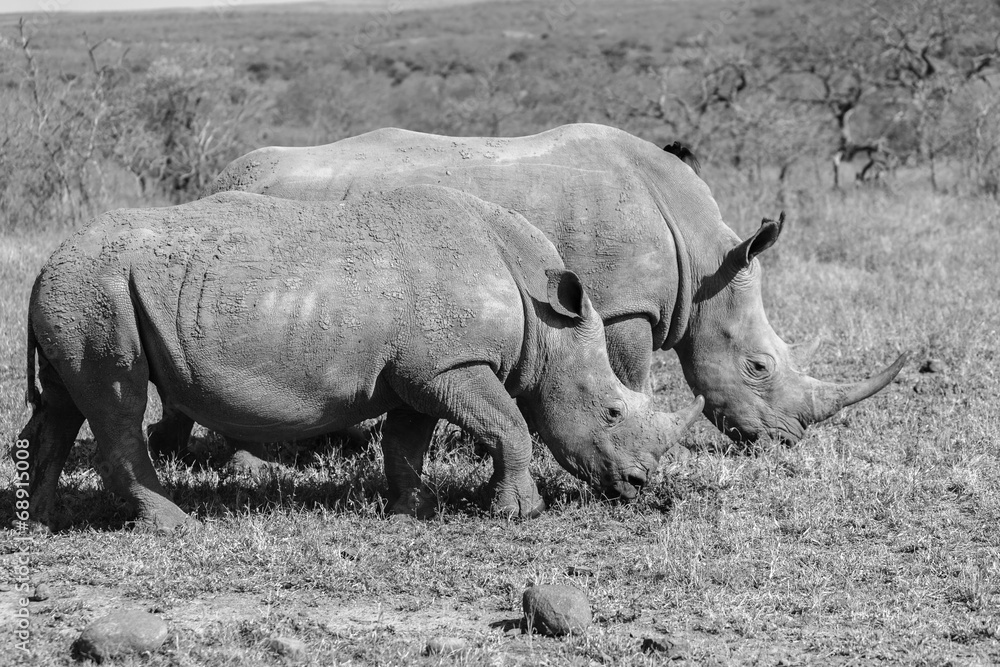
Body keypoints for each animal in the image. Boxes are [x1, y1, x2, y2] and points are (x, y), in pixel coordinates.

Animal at [18, 185, 703, 531]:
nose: (640, 486)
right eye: (611, 412)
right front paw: (519, 513)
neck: (545, 319)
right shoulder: (451, 364)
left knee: (64, 402)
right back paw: (175, 525)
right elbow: (510, 424)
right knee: (117, 399)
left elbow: (406, 439)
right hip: (100, 291)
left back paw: (40, 521)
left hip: (80, 292)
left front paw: (410, 511)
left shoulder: (424, 370)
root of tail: (47, 262)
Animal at [203, 123, 906, 447]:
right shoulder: (624, 306)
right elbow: (634, 377)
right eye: (759, 365)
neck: (706, 257)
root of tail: (229, 171)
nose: (785, 440)